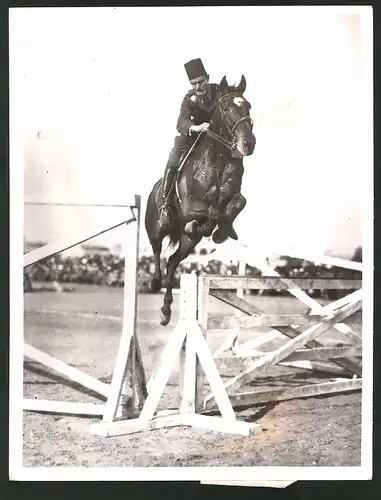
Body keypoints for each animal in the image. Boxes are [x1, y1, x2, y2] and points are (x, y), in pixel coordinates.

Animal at [145, 74, 255, 324]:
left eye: (248, 106)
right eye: (225, 107)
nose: (249, 144)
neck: (219, 158)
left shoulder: (234, 195)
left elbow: (237, 203)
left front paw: (223, 232)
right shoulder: (190, 206)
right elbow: (212, 211)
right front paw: (208, 226)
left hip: (188, 244)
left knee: (173, 261)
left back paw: (166, 311)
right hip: (156, 227)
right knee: (157, 250)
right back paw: (155, 282)